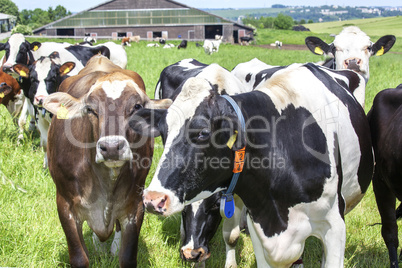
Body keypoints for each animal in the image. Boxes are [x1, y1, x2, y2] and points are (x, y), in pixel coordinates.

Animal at [42, 55, 171, 268]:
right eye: (90, 109)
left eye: (137, 106)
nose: (111, 147)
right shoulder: (65, 204)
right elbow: (79, 258)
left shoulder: (134, 204)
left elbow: (127, 257)